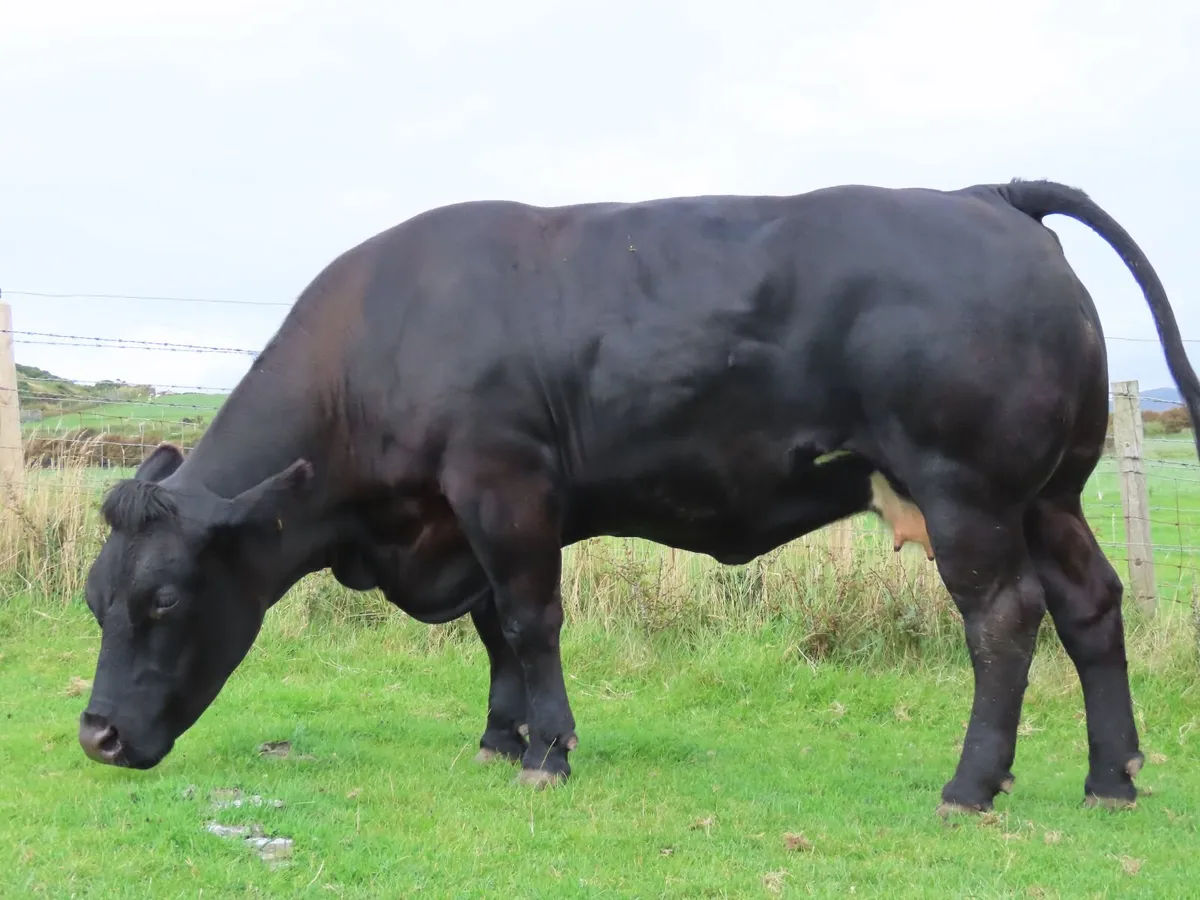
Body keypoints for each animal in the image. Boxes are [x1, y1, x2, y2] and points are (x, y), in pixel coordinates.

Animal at [76, 178, 1200, 818]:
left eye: (163, 602)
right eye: (96, 601)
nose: (96, 738)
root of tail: (987, 196)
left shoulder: (503, 486)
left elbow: (530, 620)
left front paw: (547, 752)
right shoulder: (462, 520)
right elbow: (492, 628)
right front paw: (502, 737)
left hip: (968, 492)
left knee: (1004, 619)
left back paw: (971, 786)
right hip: (1052, 496)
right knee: (1090, 608)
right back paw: (1112, 778)